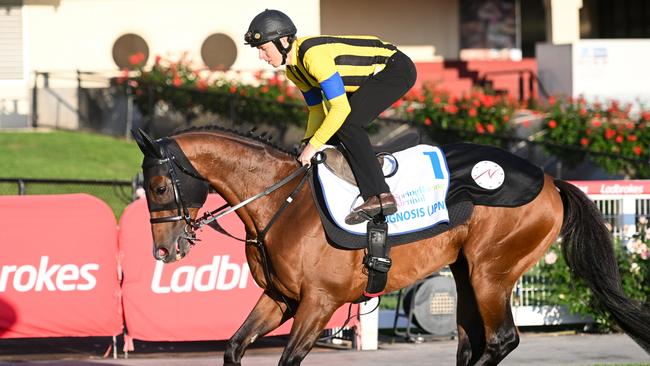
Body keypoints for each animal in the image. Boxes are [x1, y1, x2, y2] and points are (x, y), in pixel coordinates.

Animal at [132, 126, 648, 366]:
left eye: (157, 188)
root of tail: (549, 180)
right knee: (472, 341)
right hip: (466, 274)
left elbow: (287, 357)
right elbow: (235, 345)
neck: (282, 200)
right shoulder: (279, 298)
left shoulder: (318, 303)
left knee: (501, 340)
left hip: (491, 273)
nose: (164, 252)